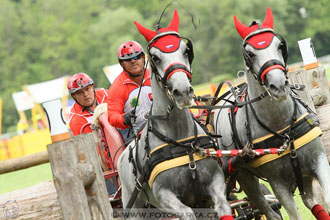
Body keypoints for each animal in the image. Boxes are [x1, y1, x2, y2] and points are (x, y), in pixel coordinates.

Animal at [117, 9, 233, 219]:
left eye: (186, 51)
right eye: (155, 57)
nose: (183, 91)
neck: (180, 142)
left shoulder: (215, 182)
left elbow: (224, 207)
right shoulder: (164, 195)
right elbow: (186, 213)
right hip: (134, 206)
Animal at [213, 6, 330, 220]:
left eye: (279, 45)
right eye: (250, 53)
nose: (278, 85)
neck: (283, 127)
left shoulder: (318, 162)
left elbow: (326, 199)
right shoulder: (278, 184)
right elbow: (293, 215)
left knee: (310, 201)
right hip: (244, 176)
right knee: (268, 210)